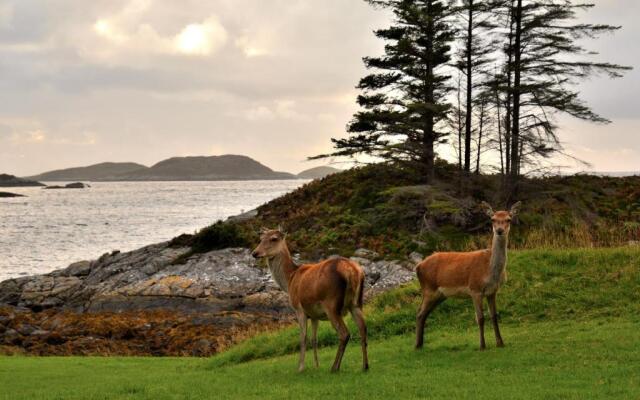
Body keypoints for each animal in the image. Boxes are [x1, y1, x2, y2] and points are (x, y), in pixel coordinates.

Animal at [251, 228, 368, 372]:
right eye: (261, 238)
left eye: (274, 238)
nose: (255, 253)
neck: (289, 280)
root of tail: (352, 271)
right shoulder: (314, 315)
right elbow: (314, 339)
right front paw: (316, 365)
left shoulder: (298, 308)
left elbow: (303, 337)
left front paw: (300, 367)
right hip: (356, 302)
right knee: (363, 328)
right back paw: (365, 366)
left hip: (331, 304)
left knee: (344, 333)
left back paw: (334, 367)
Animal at [416, 200, 520, 350]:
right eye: (492, 219)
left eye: (508, 219)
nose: (499, 230)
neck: (490, 271)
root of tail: (418, 266)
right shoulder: (475, 289)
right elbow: (480, 318)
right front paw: (482, 345)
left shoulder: (492, 291)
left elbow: (494, 316)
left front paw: (500, 342)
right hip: (428, 289)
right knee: (419, 313)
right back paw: (417, 345)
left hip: (440, 295)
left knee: (424, 314)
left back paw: (420, 344)